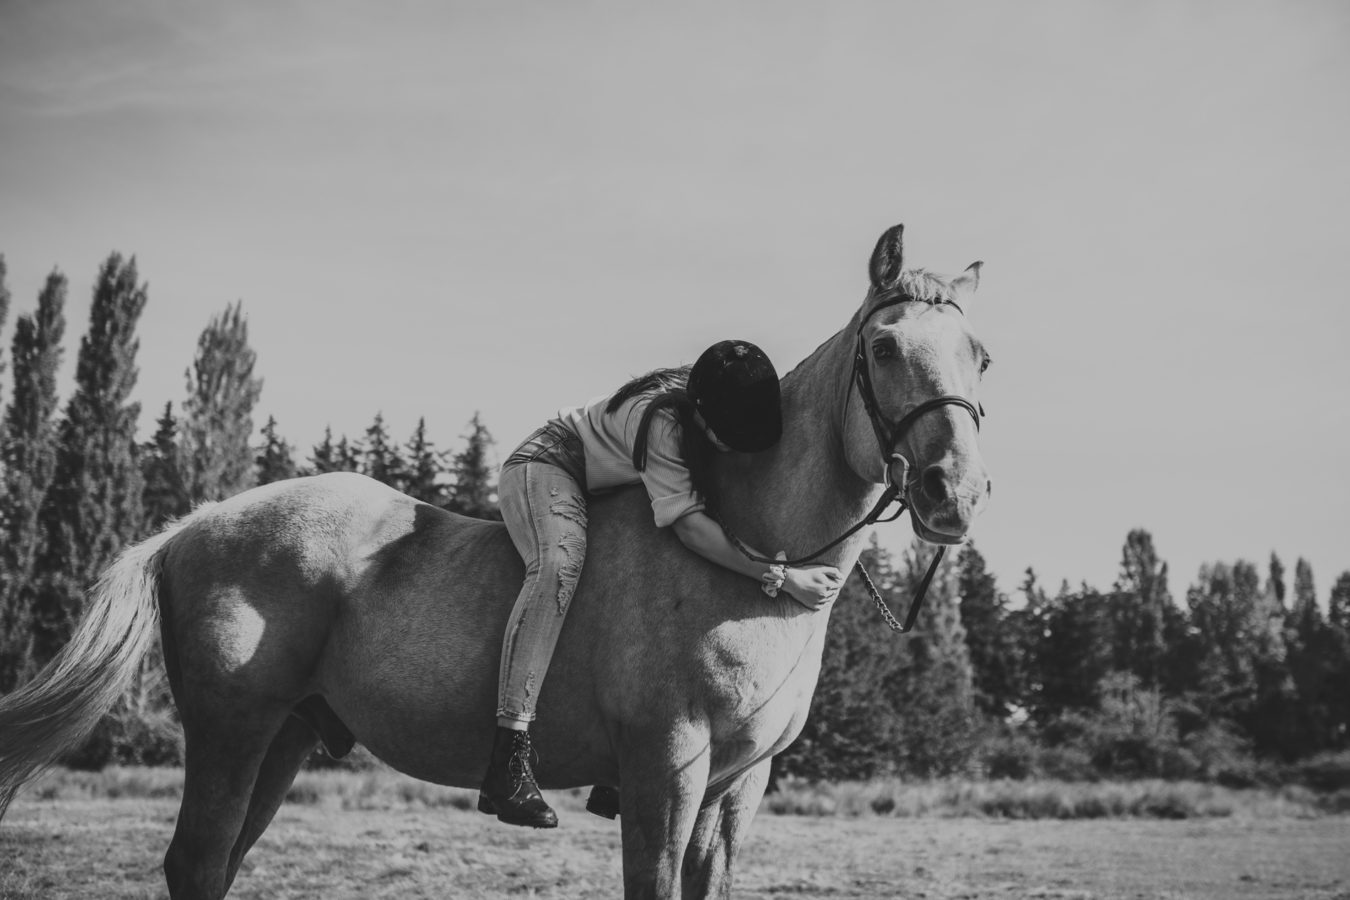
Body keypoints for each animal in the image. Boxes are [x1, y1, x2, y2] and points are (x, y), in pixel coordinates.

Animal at [0, 223, 992, 899]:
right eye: (884, 347)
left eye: (979, 354)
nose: (957, 492)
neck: (745, 561)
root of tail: (192, 525)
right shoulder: (666, 771)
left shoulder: (736, 790)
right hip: (232, 732)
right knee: (200, 862)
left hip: (282, 737)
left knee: (216, 865)